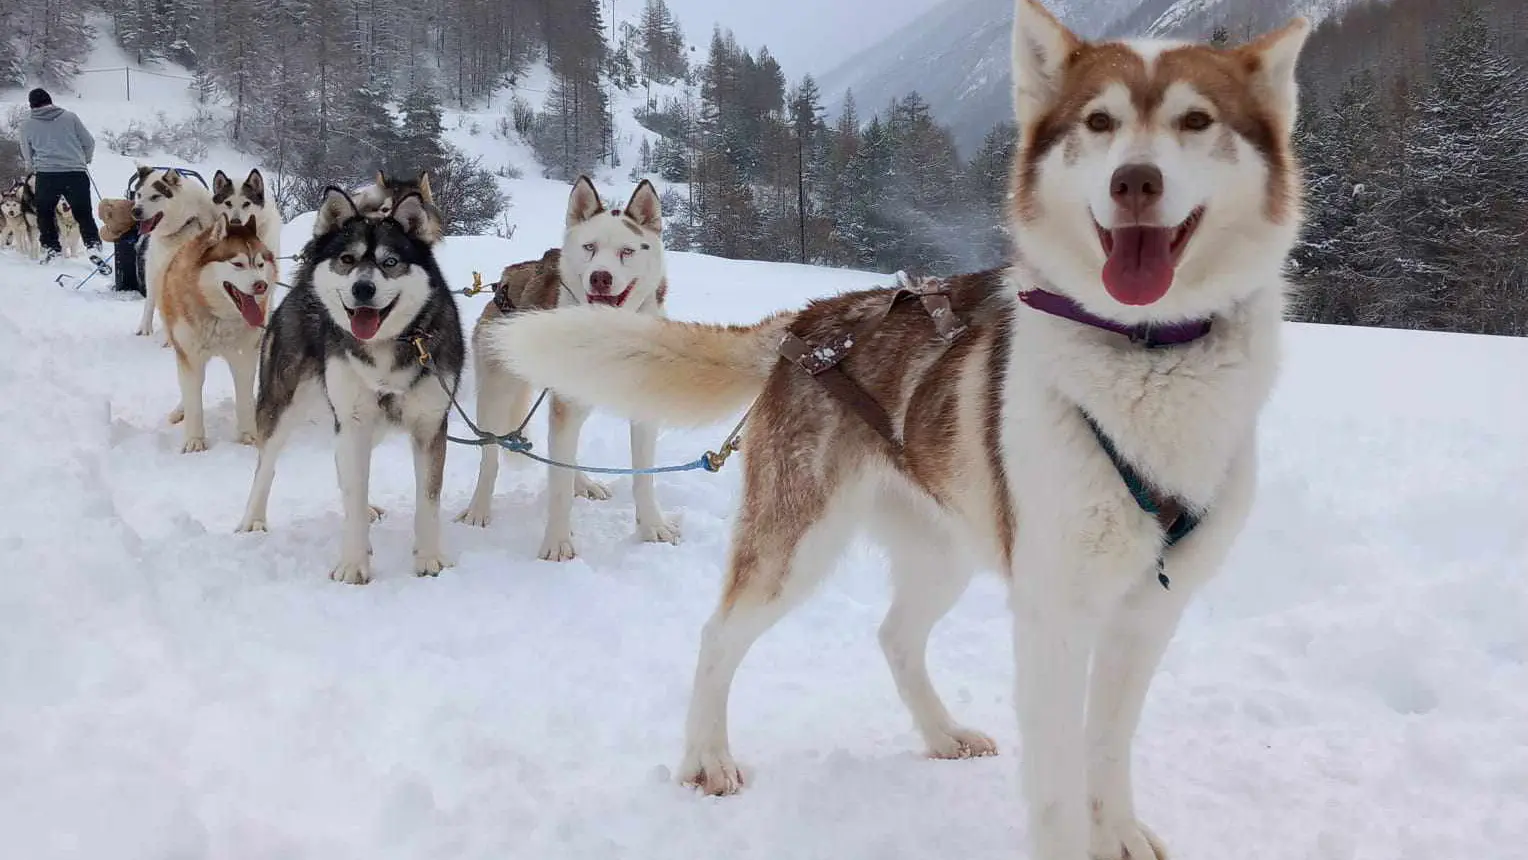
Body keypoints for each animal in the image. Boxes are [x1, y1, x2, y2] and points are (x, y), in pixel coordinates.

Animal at [132, 166, 216, 337]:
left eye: (155, 196)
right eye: (139, 194)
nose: (135, 211)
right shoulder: (153, 268)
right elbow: (150, 301)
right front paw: (145, 328)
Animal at [162, 216, 279, 452]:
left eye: (260, 264)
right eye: (238, 264)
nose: (261, 285)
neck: (219, 318)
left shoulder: (245, 356)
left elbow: (244, 399)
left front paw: (248, 436)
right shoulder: (191, 358)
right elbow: (193, 400)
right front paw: (195, 441)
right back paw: (180, 411)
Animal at [235, 187, 461, 586]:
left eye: (390, 262)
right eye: (346, 259)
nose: (363, 288)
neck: (387, 347)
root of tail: (302, 285)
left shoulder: (429, 426)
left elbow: (428, 498)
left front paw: (429, 558)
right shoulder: (354, 421)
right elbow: (354, 491)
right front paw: (354, 564)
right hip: (283, 405)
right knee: (266, 465)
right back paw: (253, 519)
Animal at [455, 178, 678, 562]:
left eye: (627, 251)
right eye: (590, 247)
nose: (600, 277)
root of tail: (507, 280)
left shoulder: (643, 409)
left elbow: (643, 476)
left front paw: (652, 526)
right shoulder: (562, 409)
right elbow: (556, 489)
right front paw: (557, 542)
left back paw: (583, 482)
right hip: (496, 397)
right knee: (491, 456)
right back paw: (479, 508)